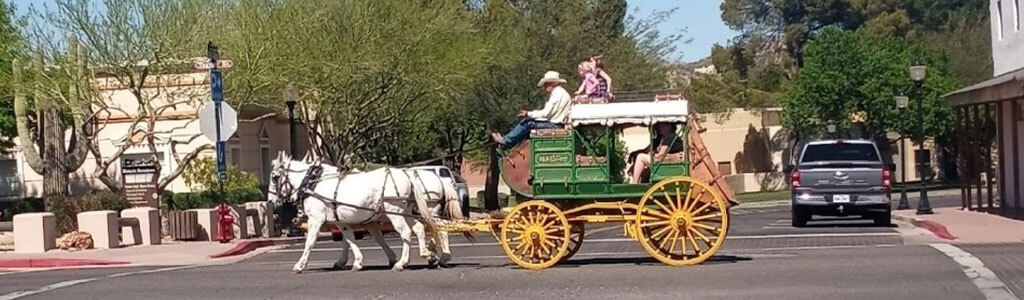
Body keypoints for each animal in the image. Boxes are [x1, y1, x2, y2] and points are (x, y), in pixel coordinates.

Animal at [264, 152, 436, 272]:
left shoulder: (315, 219)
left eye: (275, 177)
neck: (312, 184)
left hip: (394, 212)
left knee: (406, 233)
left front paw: (300, 265)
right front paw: (355, 262)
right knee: (419, 228)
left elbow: (310, 242)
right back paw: (426, 254)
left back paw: (402, 263)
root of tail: (407, 175)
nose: (270, 202)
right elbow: (349, 239)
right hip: (405, 211)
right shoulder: (340, 221)